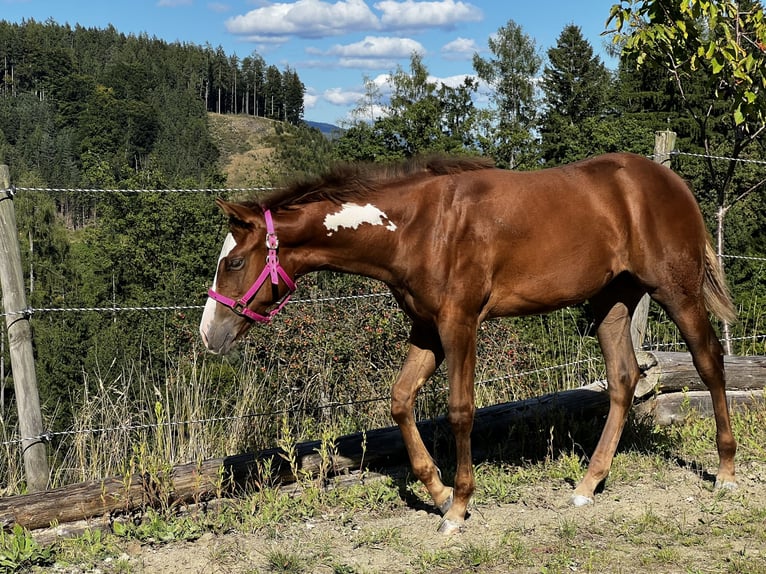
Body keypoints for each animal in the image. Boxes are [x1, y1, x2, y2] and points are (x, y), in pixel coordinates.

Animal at [199, 152, 738, 534]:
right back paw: (588, 484)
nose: (210, 334)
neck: (418, 227)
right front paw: (437, 492)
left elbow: (460, 410)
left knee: (709, 360)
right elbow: (400, 400)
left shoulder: (460, 324)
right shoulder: (427, 329)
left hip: (676, 290)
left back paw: (726, 473)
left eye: (234, 262)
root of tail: (672, 182)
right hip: (613, 300)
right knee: (623, 379)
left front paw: (457, 508)